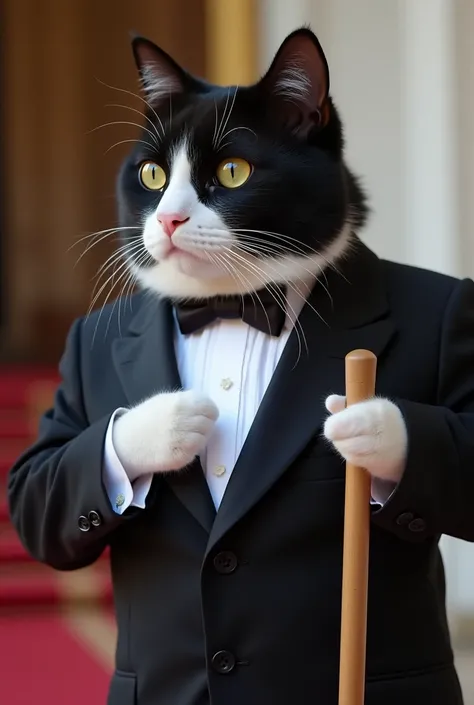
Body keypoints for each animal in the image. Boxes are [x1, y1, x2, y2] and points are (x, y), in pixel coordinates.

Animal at [110, 28, 408, 490]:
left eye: (233, 171)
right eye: (152, 174)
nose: (167, 218)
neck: (229, 303)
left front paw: (370, 424)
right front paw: (170, 419)